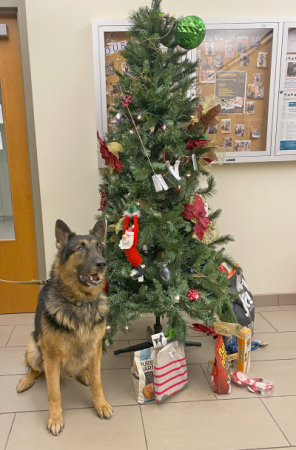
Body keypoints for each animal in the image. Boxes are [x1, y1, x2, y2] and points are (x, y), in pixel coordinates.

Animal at [16, 220, 112, 434]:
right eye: (80, 248)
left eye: (99, 247)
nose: (102, 263)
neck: (79, 303)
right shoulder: (51, 356)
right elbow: (54, 393)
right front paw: (55, 418)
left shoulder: (96, 348)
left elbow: (98, 382)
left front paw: (100, 404)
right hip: (35, 350)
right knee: (35, 369)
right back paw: (26, 380)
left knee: (81, 367)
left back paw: (83, 374)